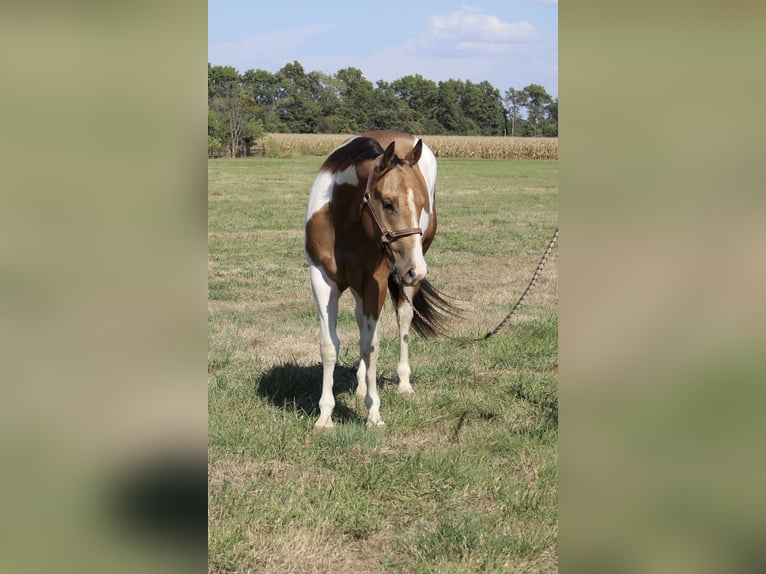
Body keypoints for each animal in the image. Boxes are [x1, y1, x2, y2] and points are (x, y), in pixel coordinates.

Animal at [304, 130, 454, 431]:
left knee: (403, 320)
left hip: (399, 284)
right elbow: (330, 346)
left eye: (422, 205)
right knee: (362, 323)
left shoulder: (376, 282)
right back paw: (362, 384)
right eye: (387, 203)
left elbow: (370, 346)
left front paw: (373, 413)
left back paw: (404, 384)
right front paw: (325, 416)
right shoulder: (322, 279)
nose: (417, 270)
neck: (344, 223)